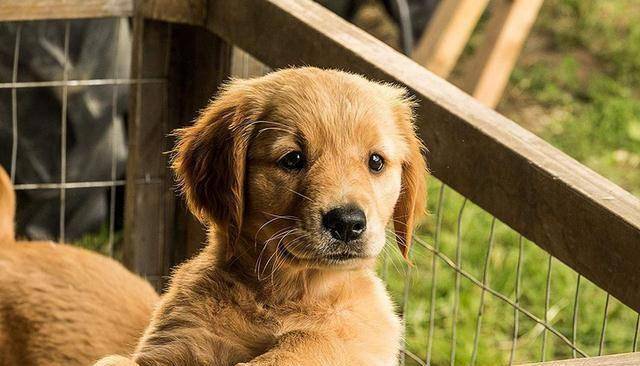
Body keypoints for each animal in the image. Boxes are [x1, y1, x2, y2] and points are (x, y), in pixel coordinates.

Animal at [97, 67, 428, 364]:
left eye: (376, 162)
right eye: (293, 159)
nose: (347, 223)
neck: (283, 296)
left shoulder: (357, 331)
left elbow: (313, 340)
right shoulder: (177, 337)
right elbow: (114, 360)